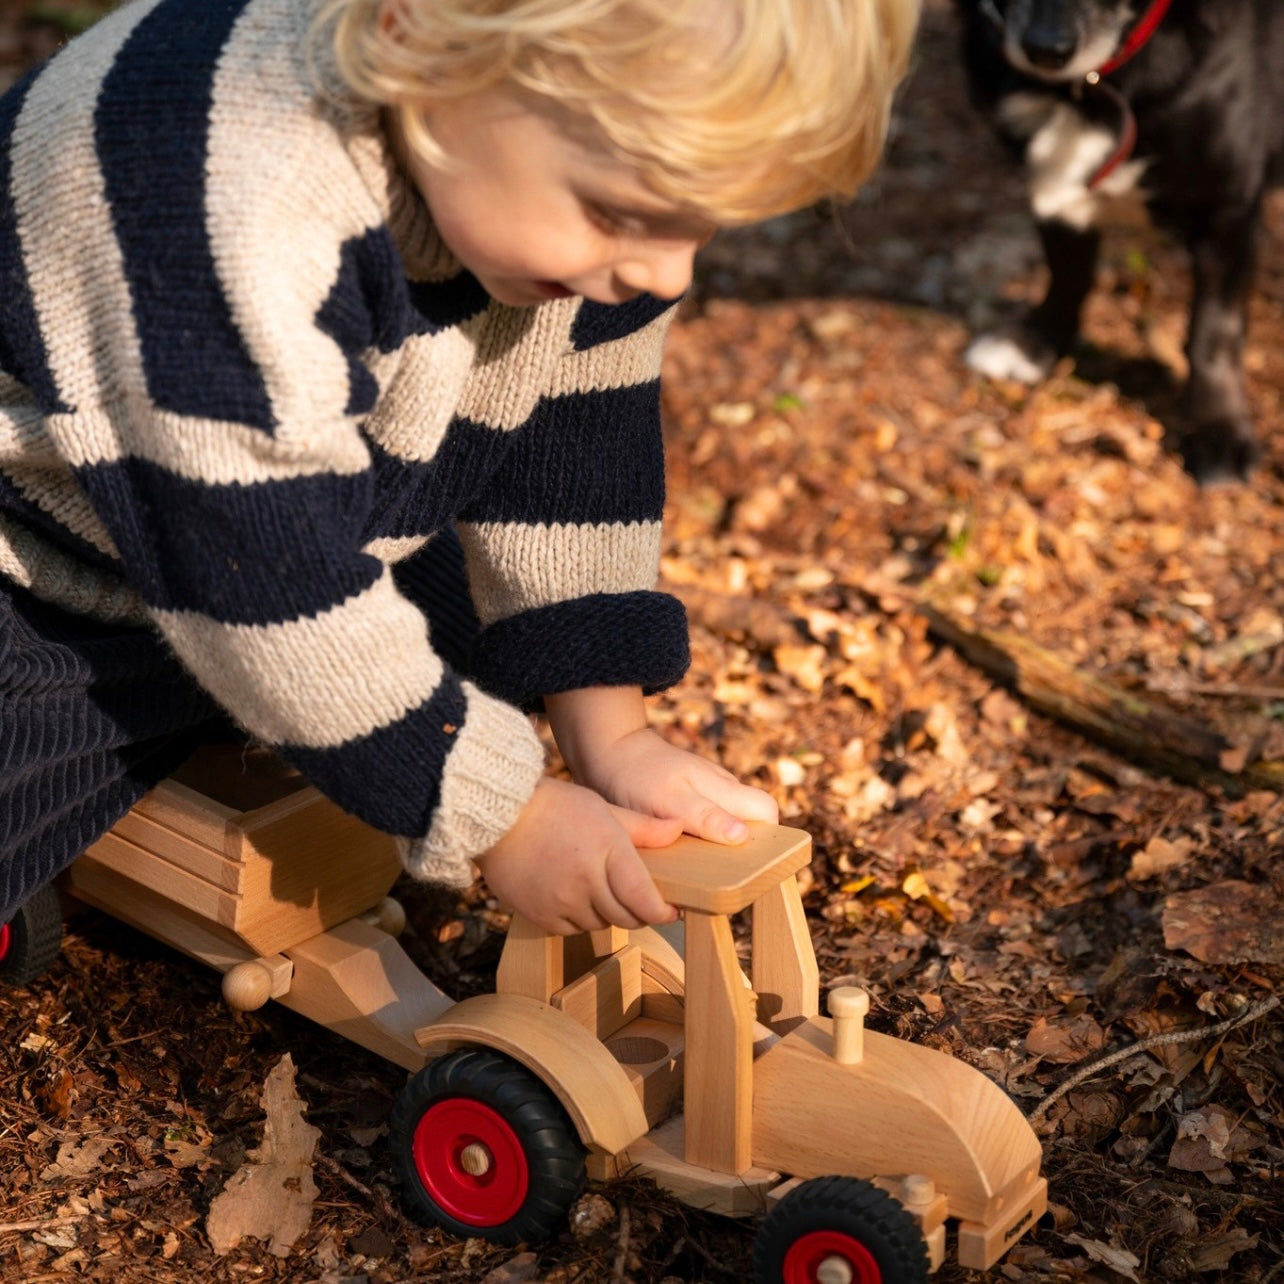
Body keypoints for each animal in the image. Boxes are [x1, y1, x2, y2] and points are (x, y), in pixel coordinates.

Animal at [955, 1, 1284, 482]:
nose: (1046, 50)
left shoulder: (1228, 206)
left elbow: (1214, 331)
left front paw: (1218, 429)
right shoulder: (1058, 199)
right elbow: (1068, 272)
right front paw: (1038, 341)